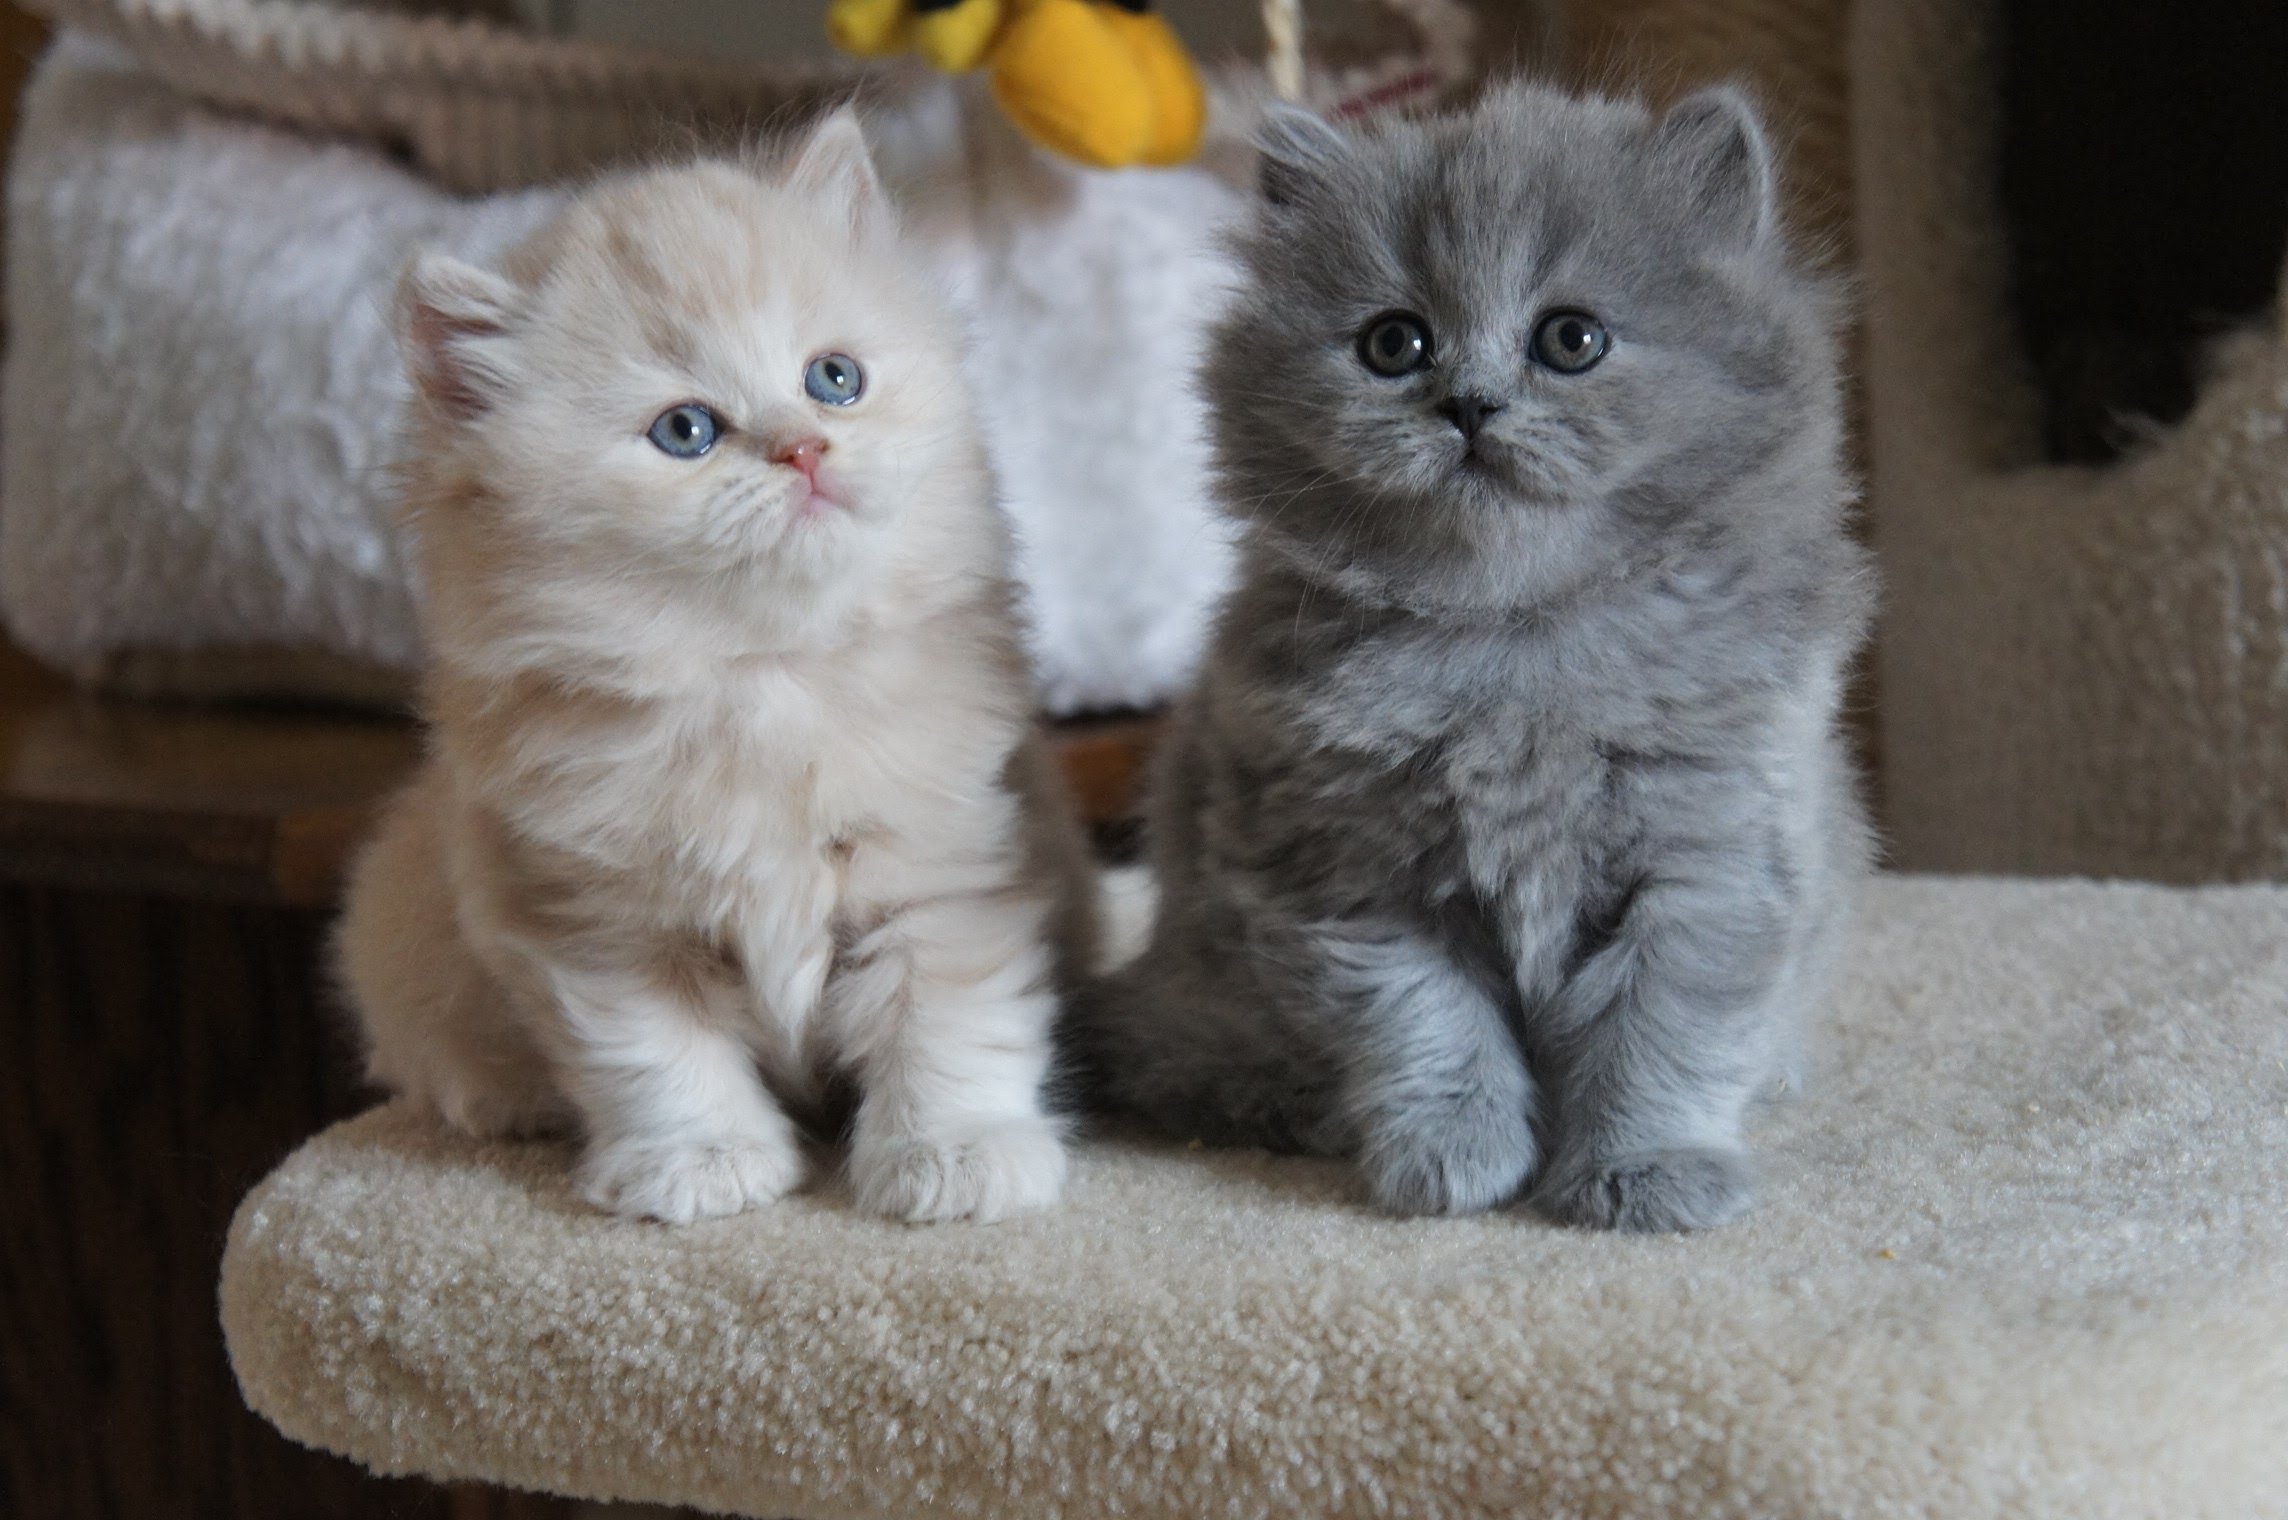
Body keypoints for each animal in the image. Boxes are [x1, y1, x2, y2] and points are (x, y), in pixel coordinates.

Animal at [334, 109, 1093, 1226]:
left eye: (833, 378)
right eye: (685, 431)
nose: (804, 449)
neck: (766, 679)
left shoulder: (950, 871)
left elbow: (950, 1021)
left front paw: (955, 1154)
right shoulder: (592, 923)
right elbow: (656, 1057)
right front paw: (700, 1163)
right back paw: (501, 1100)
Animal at [1061, 82, 1867, 1226]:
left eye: (1571, 338)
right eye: (1393, 343)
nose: (1470, 404)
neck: (1513, 639)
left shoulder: (1708, 856)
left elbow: (1660, 1035)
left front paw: (1645, 1171)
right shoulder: (1351, 874)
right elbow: (1429, 1027)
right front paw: (1456, 1161)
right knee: (1178, 1058)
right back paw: (1296, 1110)